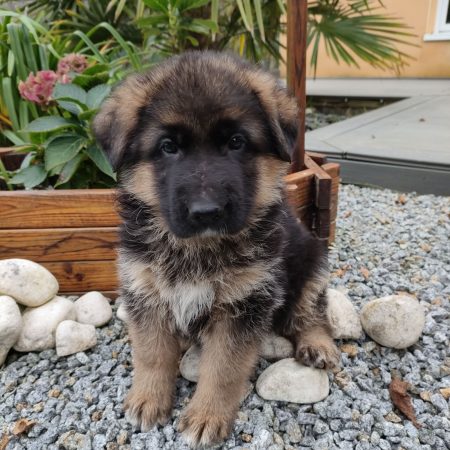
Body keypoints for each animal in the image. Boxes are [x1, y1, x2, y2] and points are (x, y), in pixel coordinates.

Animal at [93, 51, 340, 446]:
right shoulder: (145, 291)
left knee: (310, 311)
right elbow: (151, 352)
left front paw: (207, 415)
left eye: (237, 142)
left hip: (312, 262)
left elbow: (223, 367)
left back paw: (318, 345)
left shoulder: (245, 303)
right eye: (168, 147)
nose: (206, 211)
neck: (197, 247)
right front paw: (148, 398)